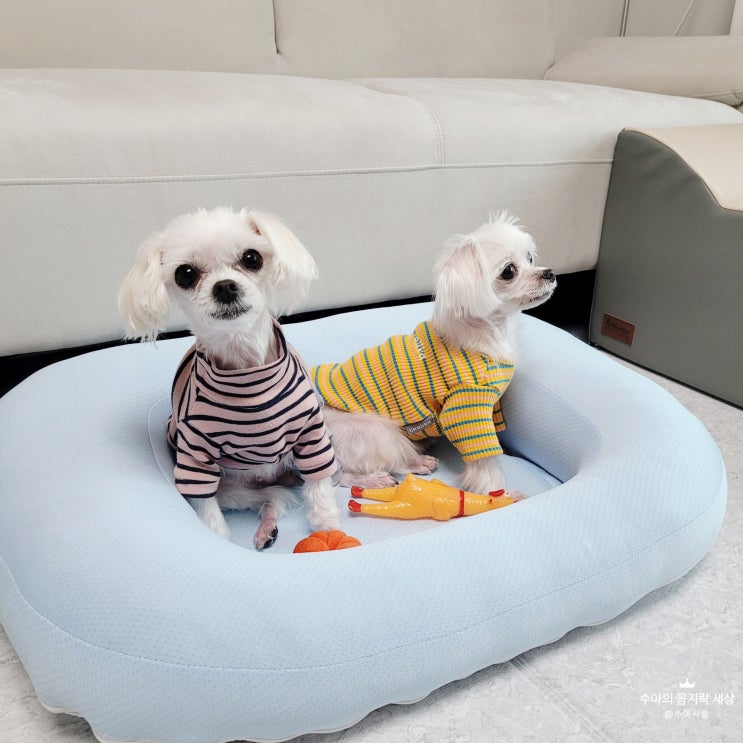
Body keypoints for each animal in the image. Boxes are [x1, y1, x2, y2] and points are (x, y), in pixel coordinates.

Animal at [118, 207, 341, 548]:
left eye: (252, 258)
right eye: (185, 274)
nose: (224, 286)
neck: (246, 369)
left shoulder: (310, 432)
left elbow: (319, 482)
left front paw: (327, 526)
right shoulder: (194, 457)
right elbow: (206, 507)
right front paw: (216, 538)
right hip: (232, 488)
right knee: (272, 496)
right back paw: (266, 527)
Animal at [312, 212, 556, 497]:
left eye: (530, 258)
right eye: (509, 271)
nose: (550, 273)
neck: (490, 331)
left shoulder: (492, 407)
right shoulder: (466, 406)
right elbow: (485, 461)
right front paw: (499, 496)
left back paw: (420, 459)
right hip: (375, 431)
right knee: (345, 475)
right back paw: (376, 479)